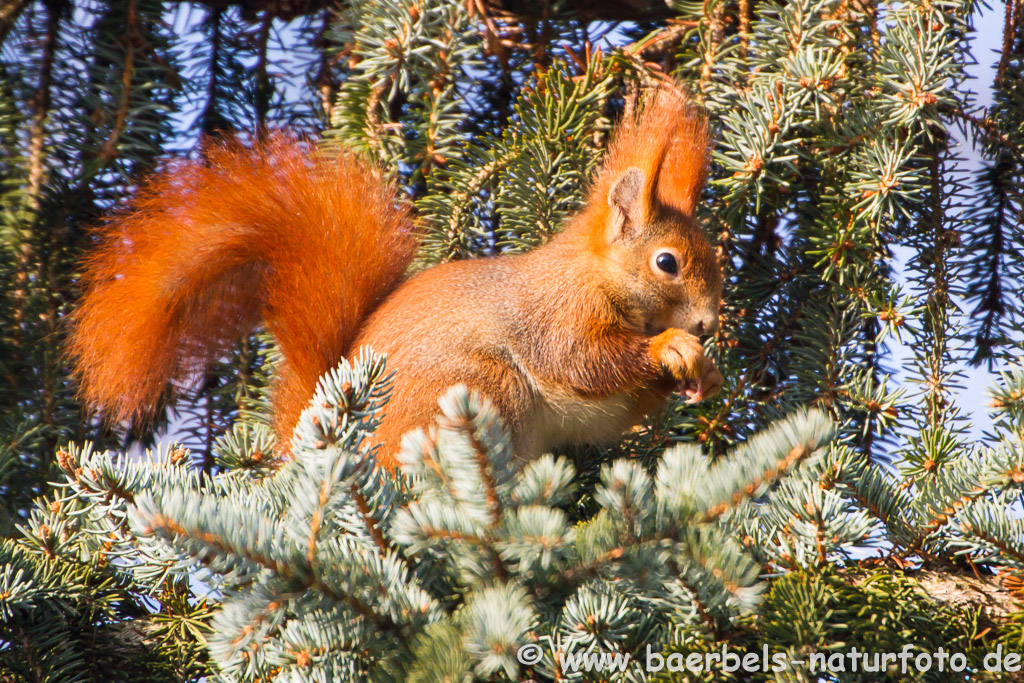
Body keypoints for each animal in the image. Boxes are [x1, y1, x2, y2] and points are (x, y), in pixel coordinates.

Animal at [70, 87, 720, 471]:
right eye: (667, 263)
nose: (711, 324)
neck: (595, 274)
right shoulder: (554, 317)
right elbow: (584, 362)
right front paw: (671, 346)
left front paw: (703, 374)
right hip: (476, 391)